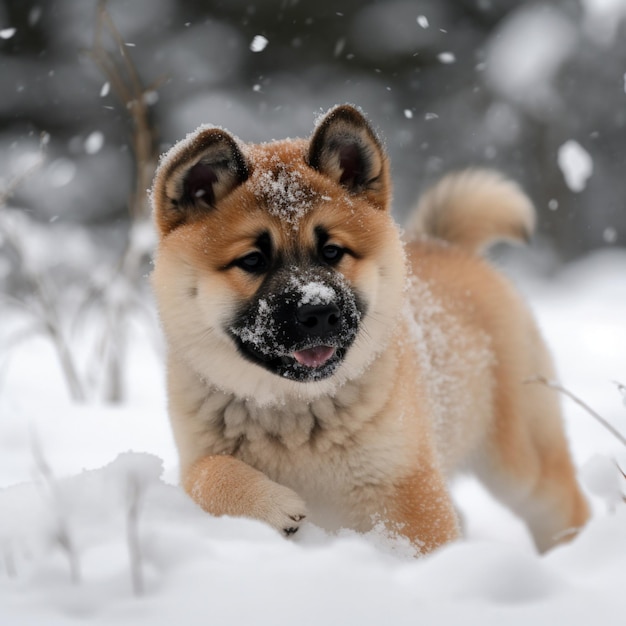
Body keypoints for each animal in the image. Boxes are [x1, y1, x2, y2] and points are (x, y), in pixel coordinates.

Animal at [149, 103, 588, 552]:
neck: (294, 414)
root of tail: (448, 244)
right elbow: (206, 473)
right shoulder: (195, 455)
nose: (318, 312)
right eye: (253, 260)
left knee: (564, 508)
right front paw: (270, 503)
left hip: (521, 460)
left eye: (332, 252)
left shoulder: (406, 485)